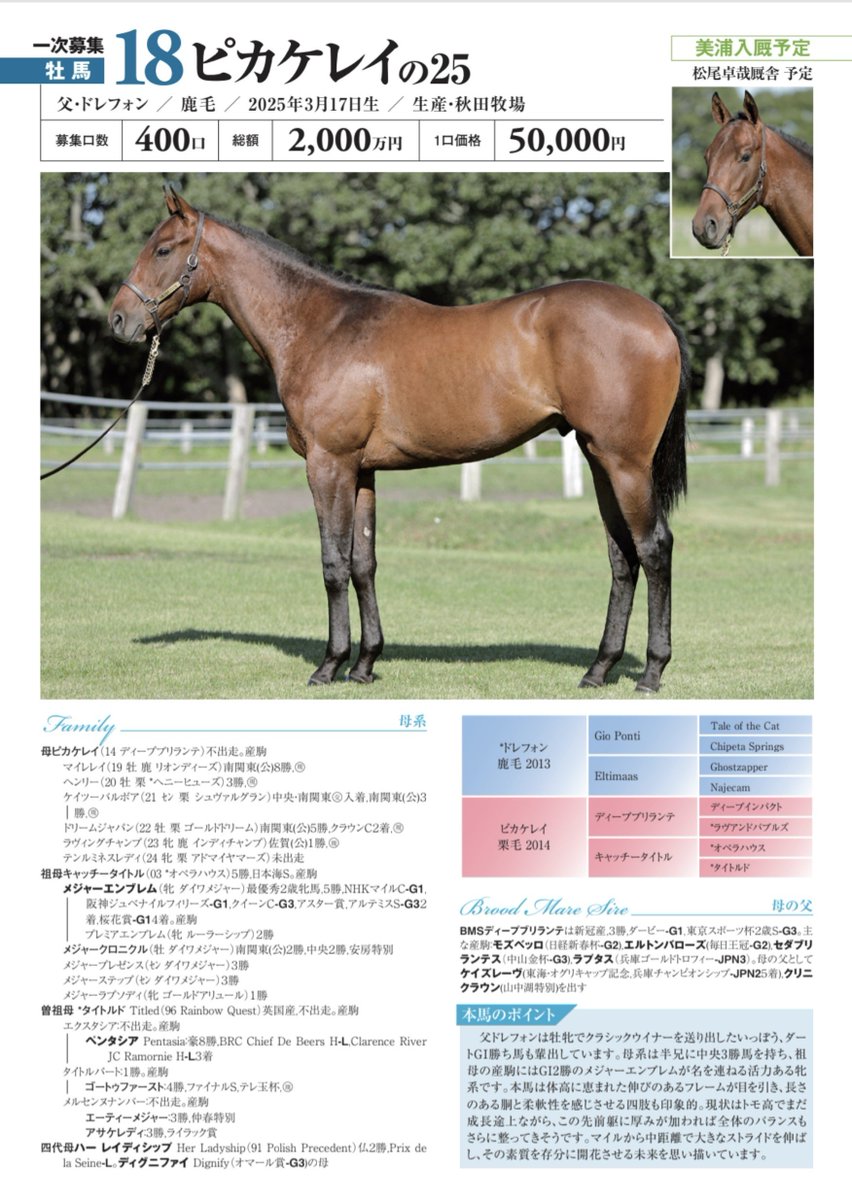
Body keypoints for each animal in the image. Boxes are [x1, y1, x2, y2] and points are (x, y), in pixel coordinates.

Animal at [108, 188, 688, 693]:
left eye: (163, 249)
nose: (118, 319)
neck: (322, 327)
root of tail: (654, 313)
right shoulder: (362, 471)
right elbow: (363, 564)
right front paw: (365, 665)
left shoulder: (328, 464)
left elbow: (333, 564)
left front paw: (330, 665)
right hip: (598, 459)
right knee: (622, 558)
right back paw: (598, 669)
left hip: (625, 463)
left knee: (654, 548)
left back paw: (652, 672)